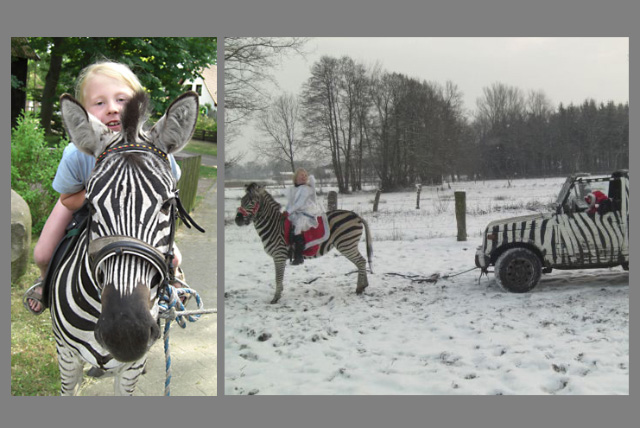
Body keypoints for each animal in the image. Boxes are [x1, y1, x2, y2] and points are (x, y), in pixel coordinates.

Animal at [236, 184, 372, 304]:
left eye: (252, 202)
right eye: (242, 201)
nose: (237, 220)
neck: (274, 227)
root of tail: (355, 215)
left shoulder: (279, 255)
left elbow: (277, 277)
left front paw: (275, 298)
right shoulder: (279, 257)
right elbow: (279, 277)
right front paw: (279, 294)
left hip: (346, 244)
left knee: (361, 261)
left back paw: (359, 288)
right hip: (348, 244)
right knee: (362, 261)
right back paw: (364, 286)